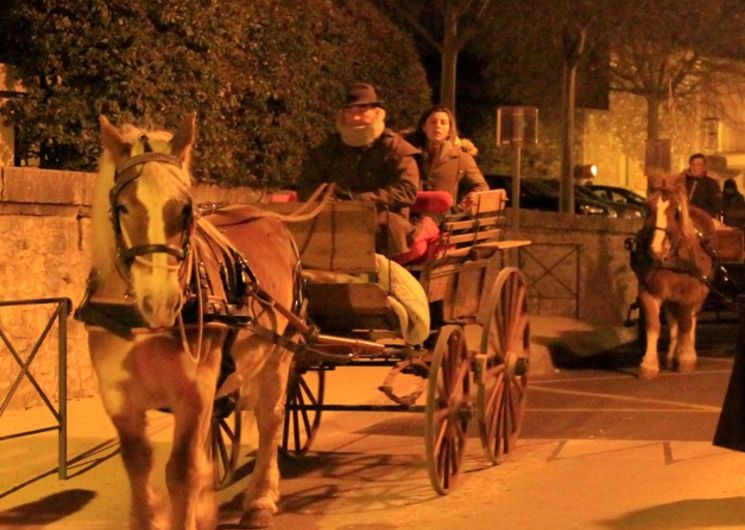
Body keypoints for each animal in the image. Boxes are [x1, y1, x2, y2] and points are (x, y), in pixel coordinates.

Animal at [80, 113, 298, 524]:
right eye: (123, 208)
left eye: (185, 209)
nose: (160, 300)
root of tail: (268, 215)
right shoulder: (118, 397)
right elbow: (139, 467)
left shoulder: (194, 393)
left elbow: (181, 471)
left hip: (277, 358)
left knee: (271, 420)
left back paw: (261, 496)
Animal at [628, 171, 716, 378]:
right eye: (648, 209)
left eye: (676, 212)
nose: (656, 249)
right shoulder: (649, 292)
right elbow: (654, 326)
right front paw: (649, 364)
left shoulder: (689, 294)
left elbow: (685, 324)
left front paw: (685, 358)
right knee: (673, 320)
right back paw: (671, 355)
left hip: (701, 292)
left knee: (691, 319)